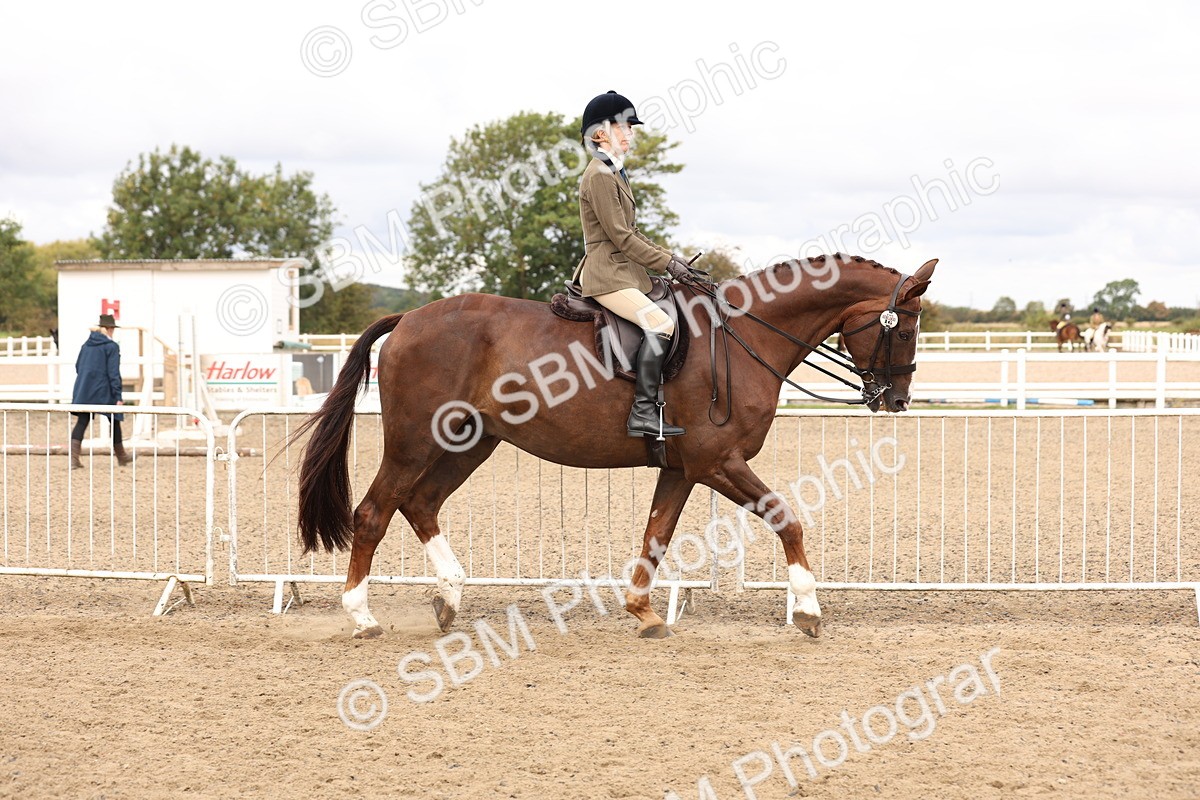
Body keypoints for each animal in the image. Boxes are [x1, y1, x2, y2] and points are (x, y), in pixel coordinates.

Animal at [295, 254, 937, 640]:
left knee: (420, 503)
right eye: (905, 329)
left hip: (470, 444)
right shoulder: (718, 462)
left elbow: (657, 534)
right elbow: (788, 519)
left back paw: (449, 600)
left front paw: (644, 613)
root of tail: (408, 319)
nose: (897, 400)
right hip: (415, 441)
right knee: (373, 513)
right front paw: (807, 610)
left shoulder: (683, 468)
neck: (742, 337)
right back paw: (362, 615)